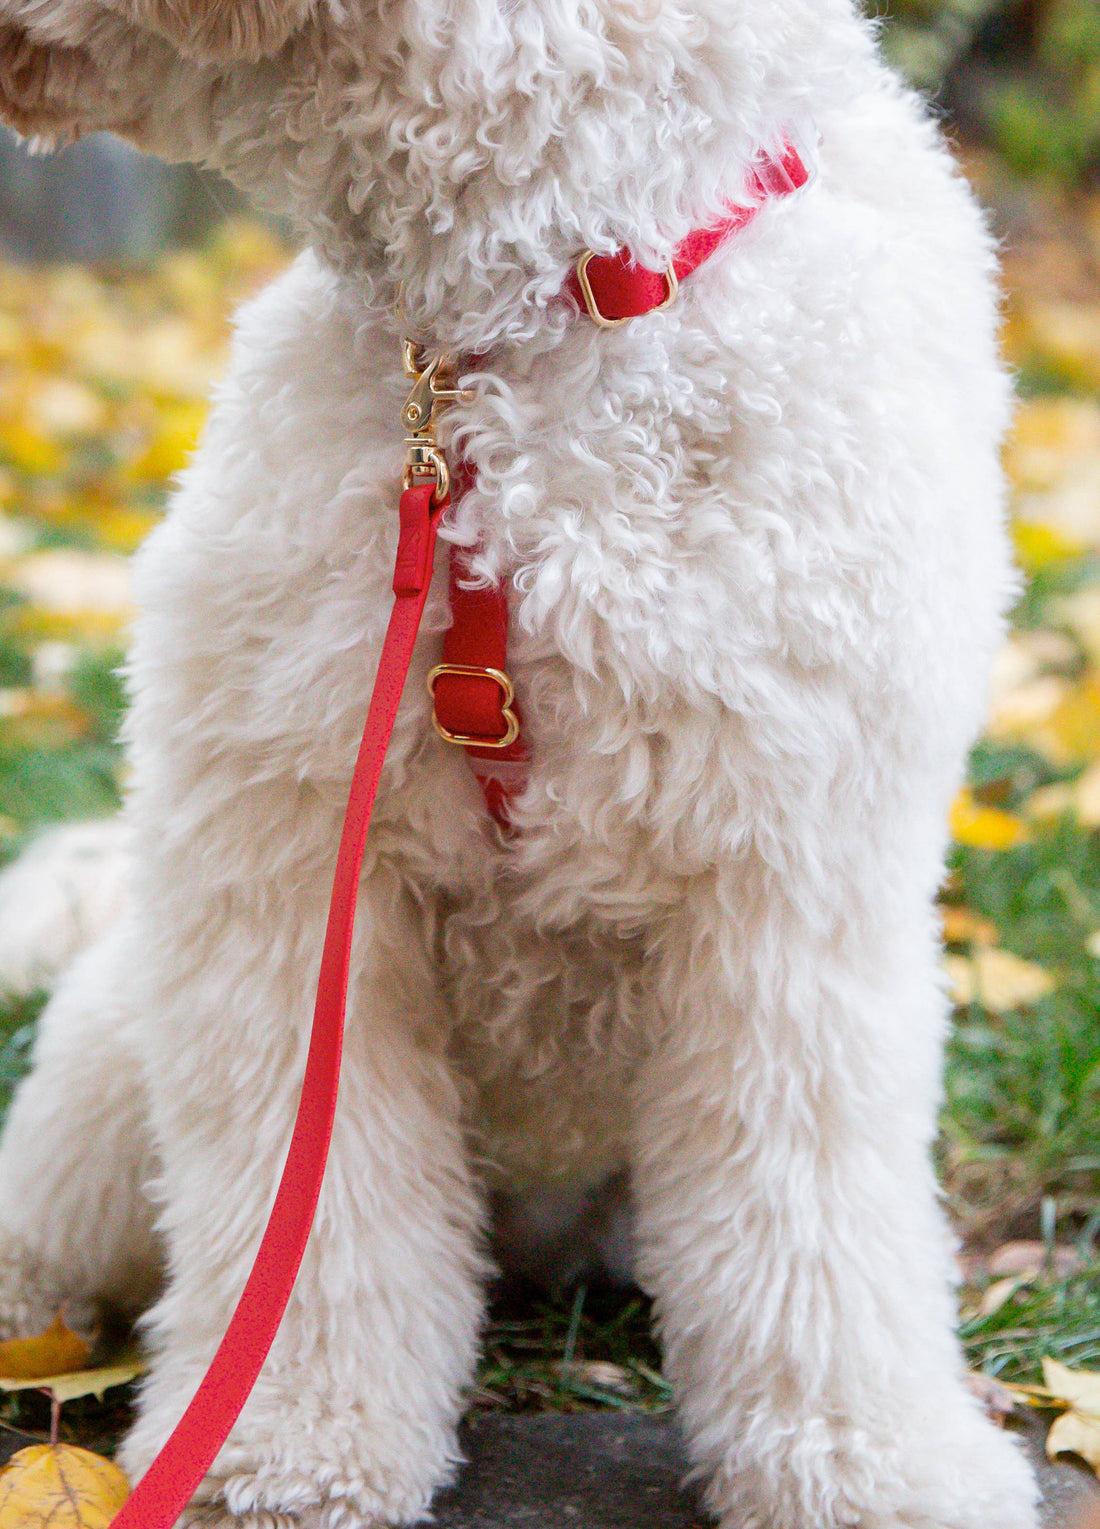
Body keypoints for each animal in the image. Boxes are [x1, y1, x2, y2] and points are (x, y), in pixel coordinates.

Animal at [0, 0, 1040, 1522]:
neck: (544, 314)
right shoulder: (289, 864)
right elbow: (310, 1215)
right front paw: (288, 1447)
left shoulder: (794, 882)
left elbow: (810, 1214)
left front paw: (867, 1461)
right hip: (108, 1059)